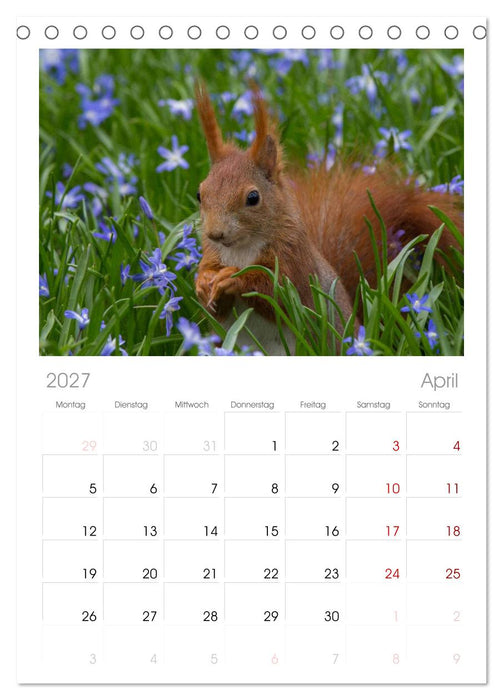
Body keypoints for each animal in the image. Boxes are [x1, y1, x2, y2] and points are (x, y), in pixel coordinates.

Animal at [194, 84, 463, 352]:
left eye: (253, 197)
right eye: (199, 193)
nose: (215, 233)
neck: (241, 248)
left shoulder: (294, 258)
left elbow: (277, 294)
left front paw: (232, 278)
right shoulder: (213, 255)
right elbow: (216, 309)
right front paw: (203, 282)